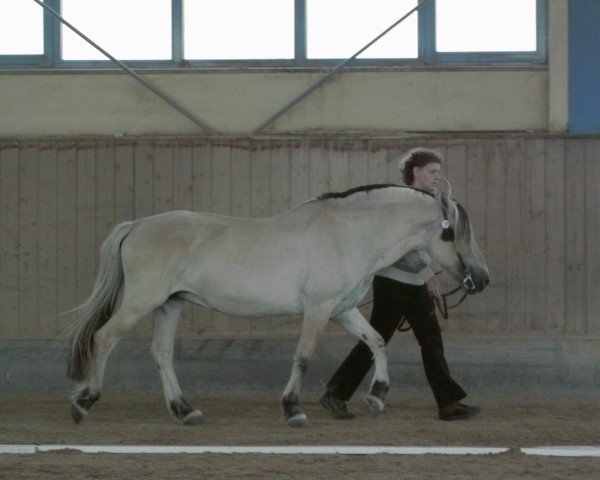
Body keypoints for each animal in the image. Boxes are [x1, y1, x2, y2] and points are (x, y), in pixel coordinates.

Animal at [67, 184, 488, 428]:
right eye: (453, 233)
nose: (481, 279)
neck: (348, 235)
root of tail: (136, 226)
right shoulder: (318, 309)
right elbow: (303, 357)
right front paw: (293, 409)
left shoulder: (342, 310)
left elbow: (376, 342)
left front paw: (376, 396)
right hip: (142, 302)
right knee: (103, 340)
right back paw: (83, 403)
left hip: (169, 305)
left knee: (162, 353)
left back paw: (186, 411)